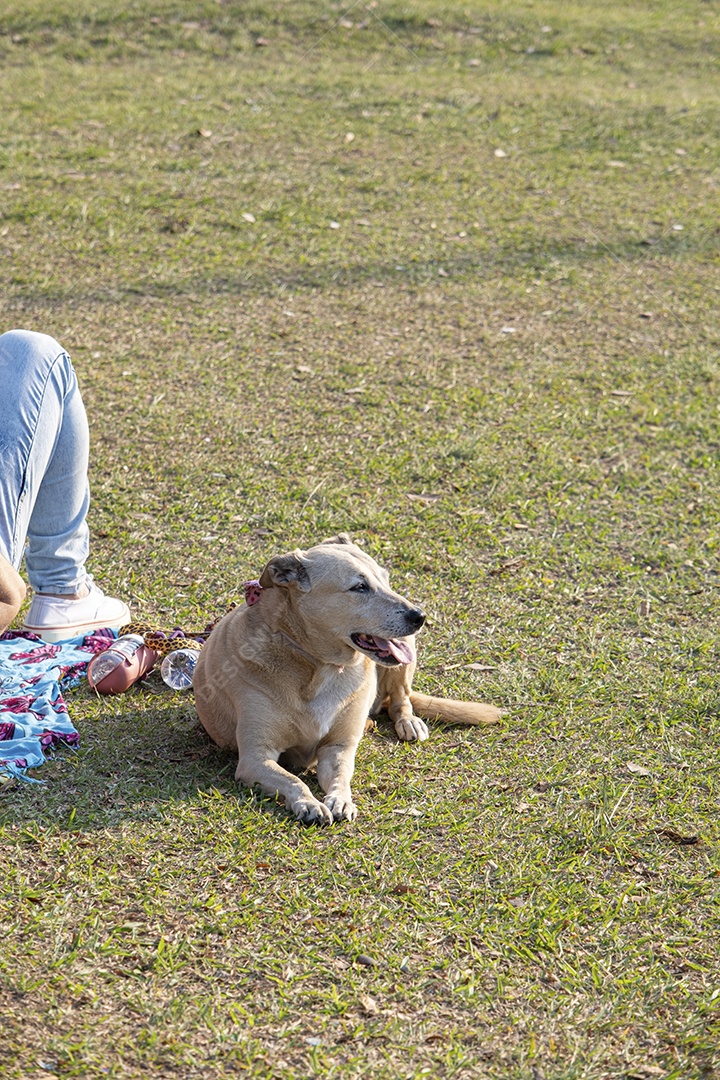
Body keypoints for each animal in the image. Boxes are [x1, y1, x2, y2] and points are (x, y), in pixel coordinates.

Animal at [194, 535, 505, 820]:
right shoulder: (255, 758)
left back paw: (407, 722)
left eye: (386, 580)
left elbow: (341, 776)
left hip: (405, 651)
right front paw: (308, 803)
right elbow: (292, 780)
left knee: (401, 699)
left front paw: (340, 799)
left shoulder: (337, 748)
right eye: (359, 587)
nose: (420, 616)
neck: (320, 667)